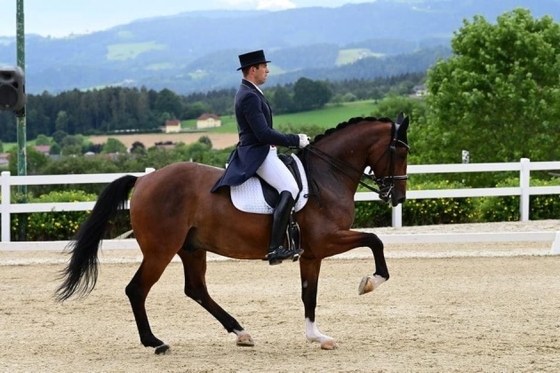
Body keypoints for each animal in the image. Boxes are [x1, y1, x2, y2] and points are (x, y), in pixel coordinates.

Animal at [54, 112, 410, 352]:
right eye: (402, 152)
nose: (398, 197)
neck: (326, 176)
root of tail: (143, 180)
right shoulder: (328, 239)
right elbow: (375, 240)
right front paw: (370, 283)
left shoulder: (312, 253)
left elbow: (309, 294)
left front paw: (317, 336)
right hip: (160, 250)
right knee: (137, 290)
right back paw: (155, 342)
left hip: (192, 248)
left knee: (196, 289)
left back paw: (241, 332)